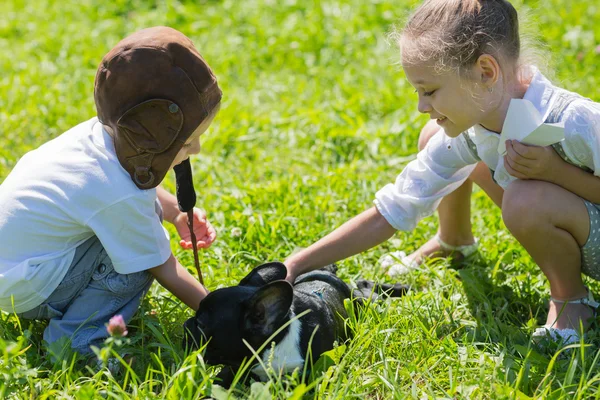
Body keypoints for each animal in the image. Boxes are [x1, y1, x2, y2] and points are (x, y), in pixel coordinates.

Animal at [183, 260, 408, 386]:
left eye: (201, 324)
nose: (187, 324)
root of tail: (327, 273)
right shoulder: (235, 369)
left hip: (365, 302)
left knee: (367, 287)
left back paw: (401, 288)